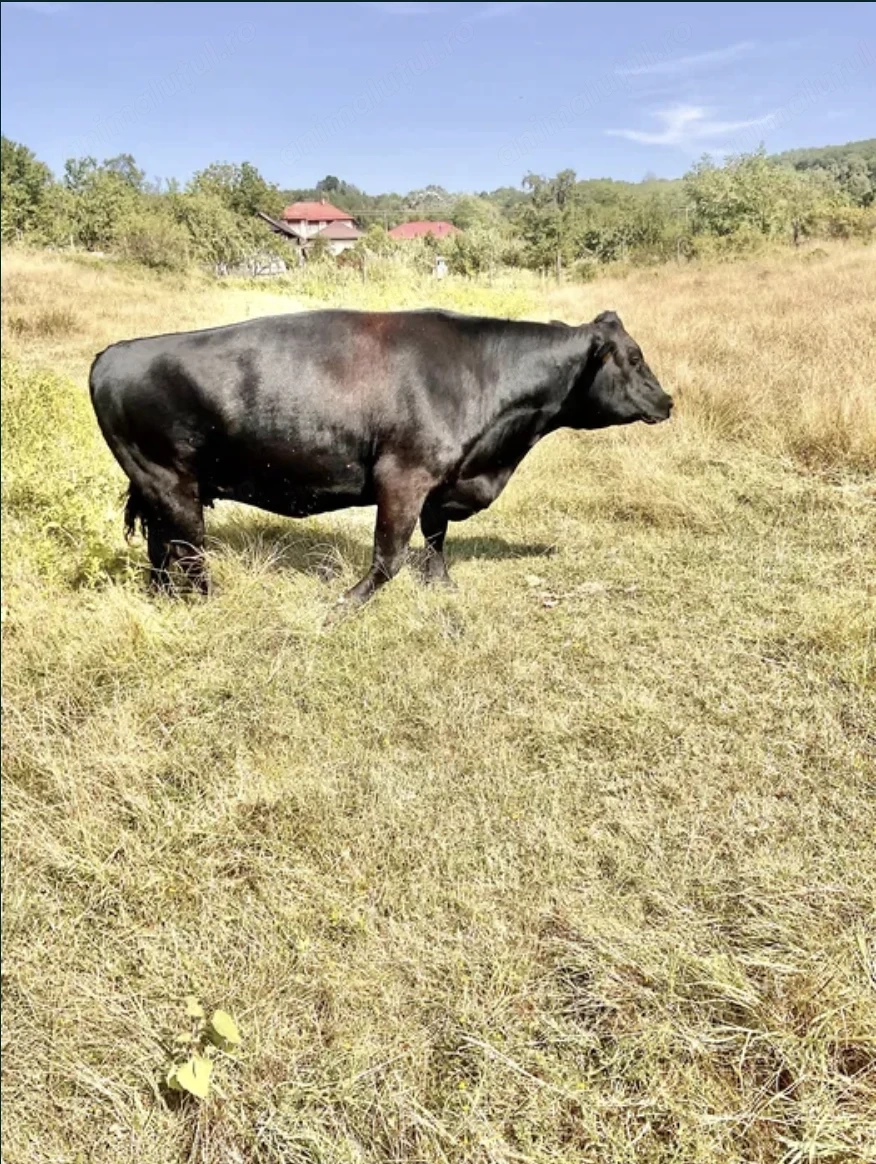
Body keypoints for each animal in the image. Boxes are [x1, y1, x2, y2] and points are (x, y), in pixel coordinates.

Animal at [89, 308, 672, 607]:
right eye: (635, 357)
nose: (667, 400)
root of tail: (113, 352)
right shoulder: (403, 477)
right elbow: (388, 557)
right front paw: (345, 605)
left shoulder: (443, 480)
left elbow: (435, 540)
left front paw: (441, 587)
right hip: (170, 483)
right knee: (186, 553)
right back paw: (208, 604)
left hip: (163, 489)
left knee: (161, 551)